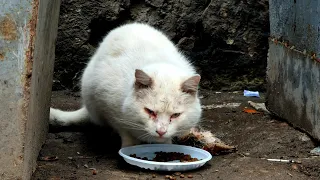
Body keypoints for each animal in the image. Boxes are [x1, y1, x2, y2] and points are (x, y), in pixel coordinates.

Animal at [50, 22, 202, 148]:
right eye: (149, 111)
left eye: (176, 115)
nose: (161, 131)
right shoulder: (108, 106)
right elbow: (124, 130)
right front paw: (130, 147)